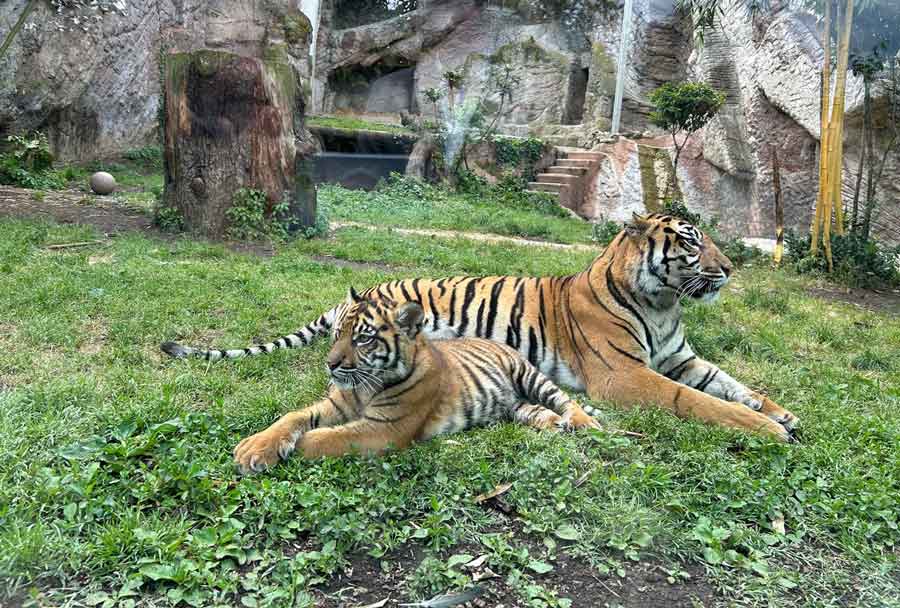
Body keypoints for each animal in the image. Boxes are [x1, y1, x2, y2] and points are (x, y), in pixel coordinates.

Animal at [162, 214, 796, 442]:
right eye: (691, 241)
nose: (729, 268)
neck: (664, 302)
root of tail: (371, 290)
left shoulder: (679, 358)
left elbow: (731, 383)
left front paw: (780, 412)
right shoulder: (626, 376)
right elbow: (699, 401)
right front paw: (765, 428)